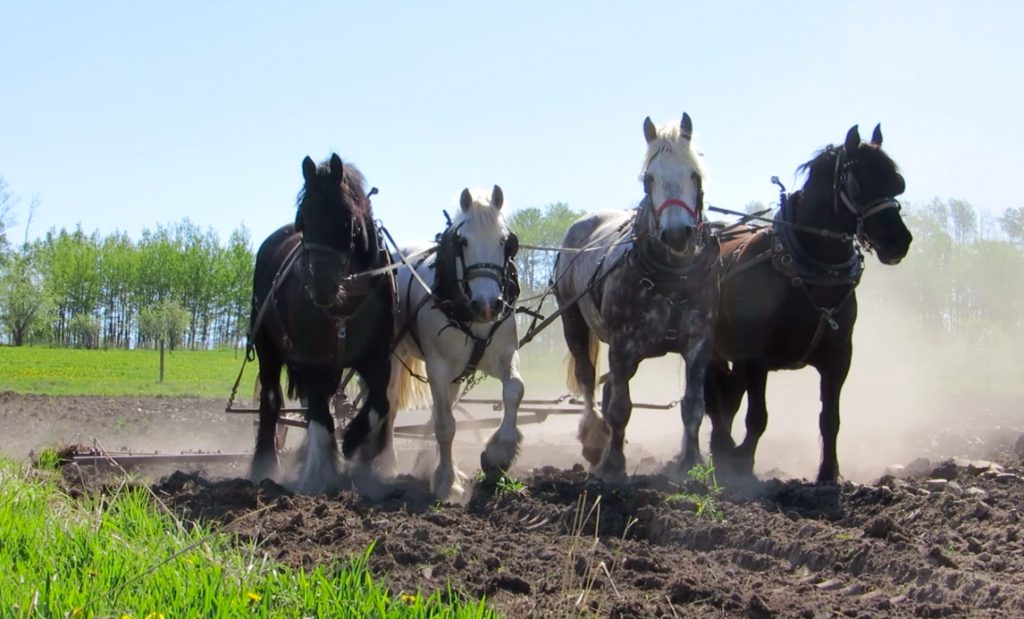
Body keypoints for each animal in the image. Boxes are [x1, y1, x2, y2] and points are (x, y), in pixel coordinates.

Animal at [248, 153, 395, 494]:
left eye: (345, 219)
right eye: (303, 219)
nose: (320, 286)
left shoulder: (377, 359)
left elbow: (378, 405)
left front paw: (354, 443)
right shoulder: (313, 361)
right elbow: (319, 416)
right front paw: (319, 473)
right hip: (267, 349)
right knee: (271, 401)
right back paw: (265, 466)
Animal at [384, 186, 523, 500]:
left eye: (504, 240)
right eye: (464, 241)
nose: (488, 305)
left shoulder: (504, 356)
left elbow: (514, 390)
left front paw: (498, 454)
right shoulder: (437, 367)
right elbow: (445, 425)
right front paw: (446, 481)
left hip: (458, 373)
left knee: (443, 405)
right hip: (395, 356)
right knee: (390, 404)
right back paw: (386, 463)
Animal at [553, 114, 720, 482]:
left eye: (694, 173)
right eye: (649, 178)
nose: (677, 234)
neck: (672, 277)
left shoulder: (699, 343)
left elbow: (694, 405)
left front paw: (690, 462)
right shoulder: (622, 344)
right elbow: (620, 408)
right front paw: (613, 465)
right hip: (573, 322)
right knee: (589, 379)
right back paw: (594, 439)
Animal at [705, 124, 912, 483]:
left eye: (896, 183)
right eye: (857, 183)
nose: (898, 241)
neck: (803, 268)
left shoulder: (839, 358)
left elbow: (830, 419)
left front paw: (828, 473)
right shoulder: (756, 358)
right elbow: (757, 417)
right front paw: (743, 463)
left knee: (727, 398)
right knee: (711, 399)